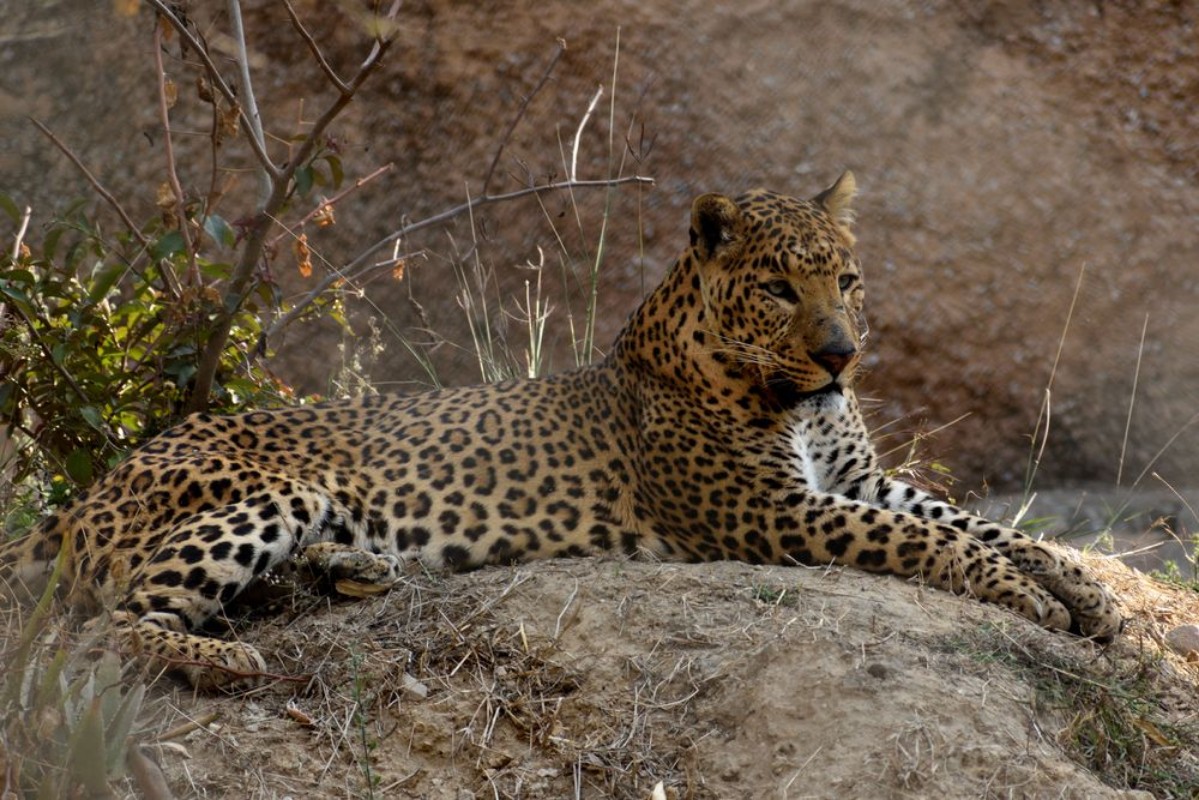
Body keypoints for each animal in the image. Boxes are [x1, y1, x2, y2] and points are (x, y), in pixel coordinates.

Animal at [0, 173, 1122, 689]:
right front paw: (1028, 596)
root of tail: (93, 489)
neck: (789, 396)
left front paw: (1088, 590)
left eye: (845, 278)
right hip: (262, 492)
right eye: (776, 287)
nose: (843, 354)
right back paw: (225, 661)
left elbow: (971, 519)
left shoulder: (847, 482)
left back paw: (355, 569)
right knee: (107, 623)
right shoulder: (774, 510)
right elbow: (926, 538)